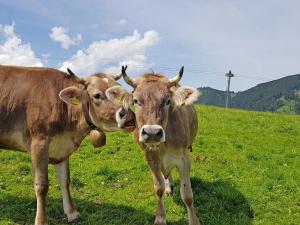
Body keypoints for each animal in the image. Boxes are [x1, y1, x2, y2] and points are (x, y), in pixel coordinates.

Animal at [0, 64, 135, 224]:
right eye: (97, 95)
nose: (129, 116)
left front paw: (71, 213)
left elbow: (65, 180)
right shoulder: (38, 143)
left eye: (122, 93)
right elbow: (41, 185)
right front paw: (41, 220)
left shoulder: (62, 148)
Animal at [106, 66, 200, 225]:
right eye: (135, 100)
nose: (152, 133)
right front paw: (160, 218)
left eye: (168, 101)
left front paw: (194, 221)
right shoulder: (150, 157)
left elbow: (187, 195)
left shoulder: (184, 158)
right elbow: (158, 188)